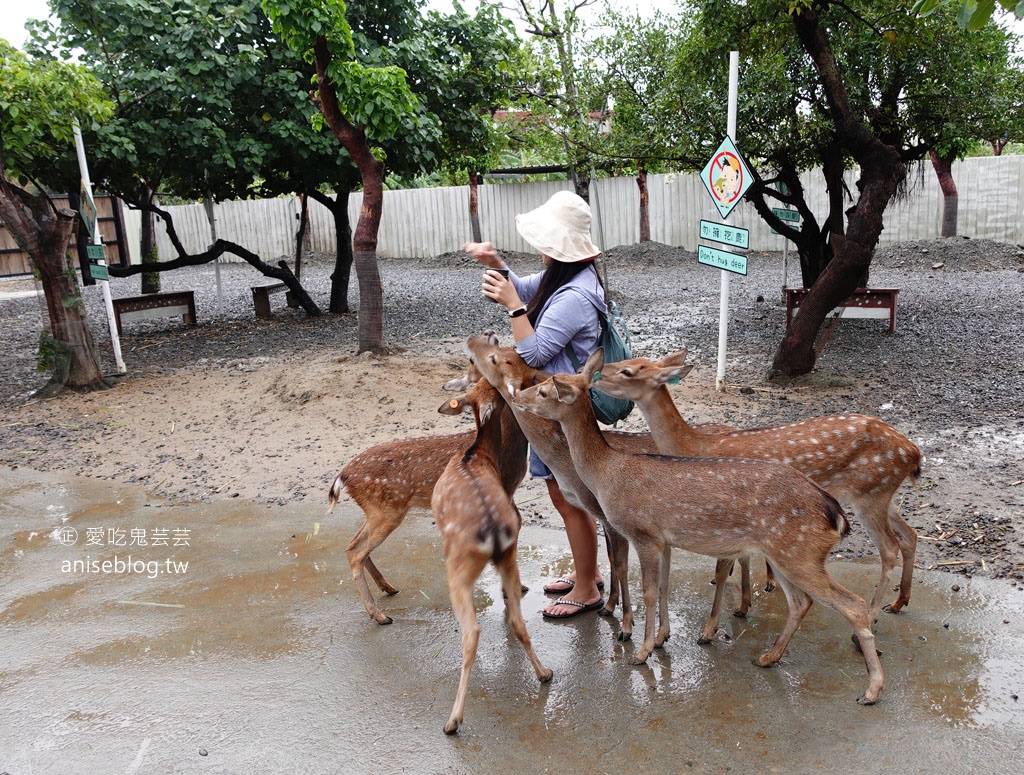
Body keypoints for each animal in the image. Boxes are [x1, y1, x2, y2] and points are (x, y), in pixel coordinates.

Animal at [329, 354, 528, 626]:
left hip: (376, 509)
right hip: (387, 509)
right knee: (356, 552)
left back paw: (388, 588)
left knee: (353, 544)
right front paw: (513, 589)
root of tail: (342, 476)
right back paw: (380, 615)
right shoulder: (504, 490)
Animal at [430, 374, 552, 733]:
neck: (475, 453)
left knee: (471, 632)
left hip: (459, 568)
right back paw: (544, 673)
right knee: (517, 619)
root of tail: (494, 531)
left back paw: (453, 719)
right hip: (509, 556)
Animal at [512, 350, 888, 708]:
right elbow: (664, 586)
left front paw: (641, 652)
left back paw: (871, 690)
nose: (517, 395)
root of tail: (835, 514)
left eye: (544, 389)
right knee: (800, 601)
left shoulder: (643, 532)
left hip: (799, 553)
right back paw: (768, 657)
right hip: (786, 553)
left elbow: (649, 591)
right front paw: (661, 639)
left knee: (852, 604)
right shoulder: (664, 540)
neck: (608, 473)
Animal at [593, 350, 921, 622]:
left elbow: (731, 561)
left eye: (628, 371)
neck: (696, 446)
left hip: (870, 494)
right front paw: (747, 597)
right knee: (910, 535)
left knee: (889, 548)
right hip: (880, 493)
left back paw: (874, 616)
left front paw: (738, 606)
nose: (596, 373)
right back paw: (898, 602)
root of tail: (913, 451)